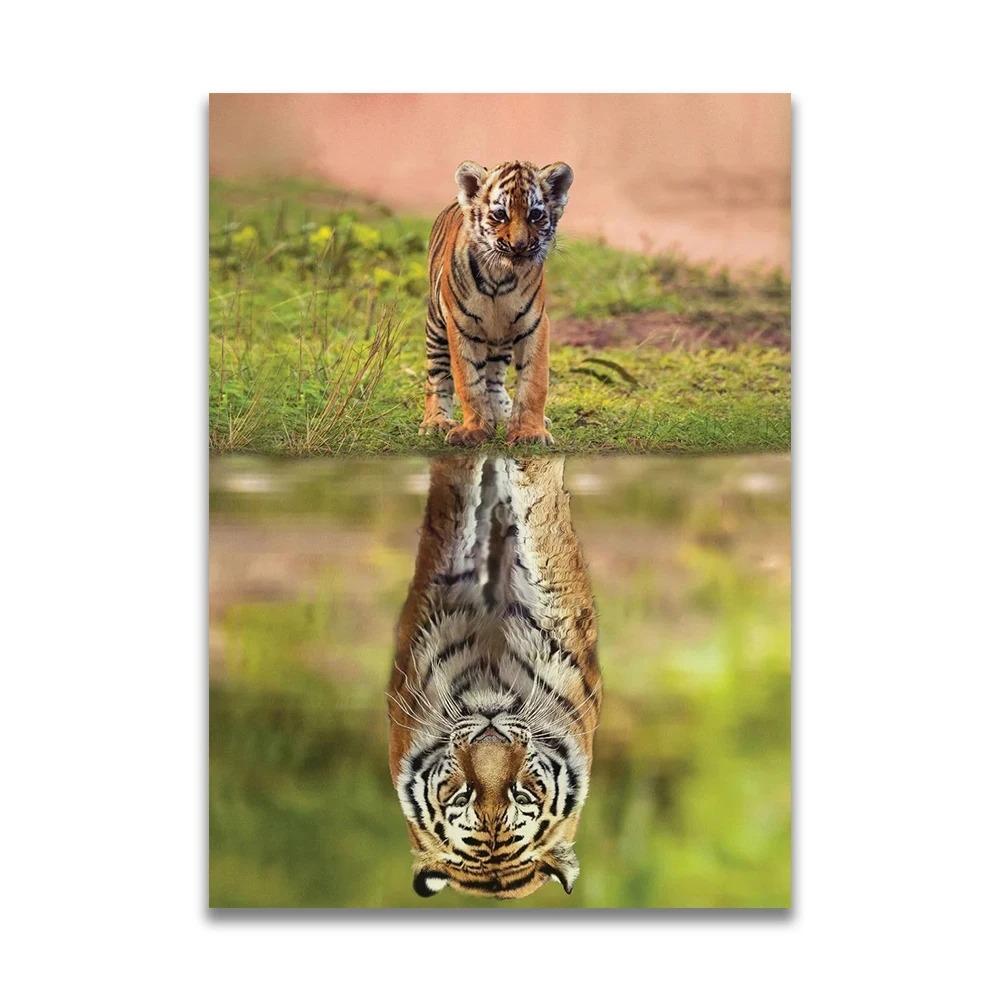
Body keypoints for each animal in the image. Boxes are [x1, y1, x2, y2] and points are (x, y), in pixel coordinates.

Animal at [419, 160, 574, 447]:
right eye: (500, 215)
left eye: (535, 215)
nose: (519, 245)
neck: (500, 276)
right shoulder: (462, 326)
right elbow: (469, 382)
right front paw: (474, 430)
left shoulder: (534, 324)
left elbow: (534, 382)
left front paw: (529, 432)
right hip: (436, 328)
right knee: (437, 376)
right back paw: (436, 422)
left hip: (500, 340)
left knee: (494, 379)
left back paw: (504, 414)